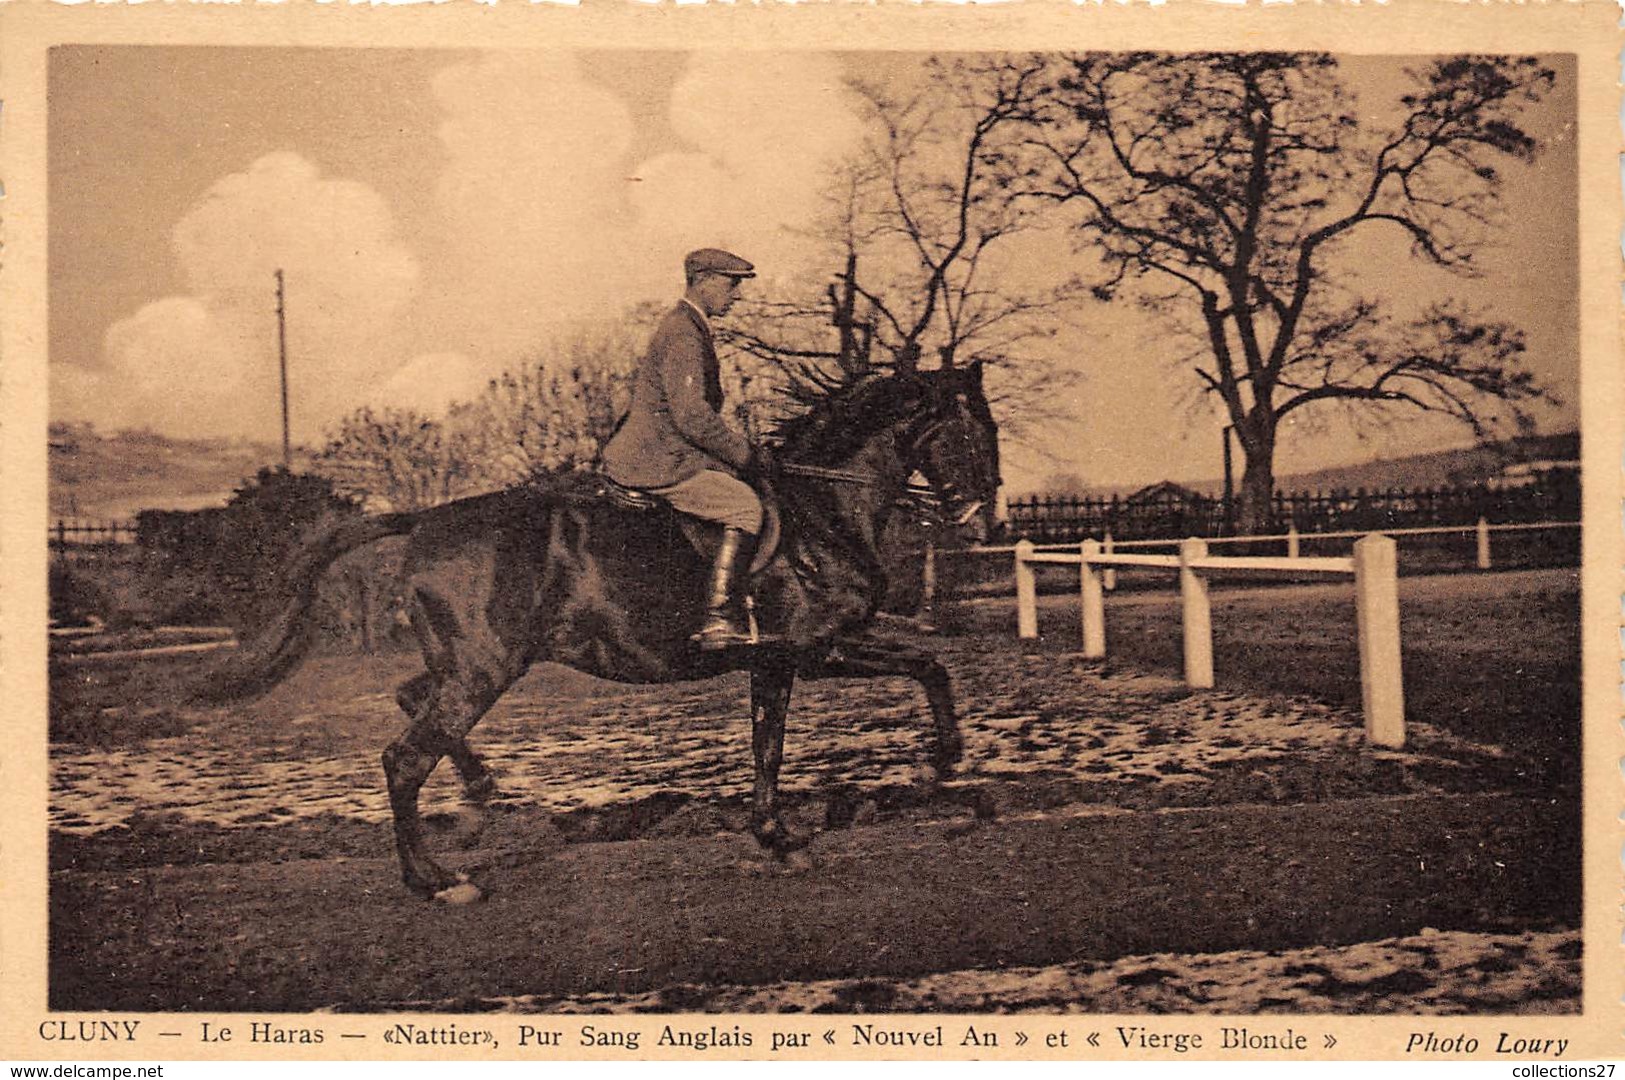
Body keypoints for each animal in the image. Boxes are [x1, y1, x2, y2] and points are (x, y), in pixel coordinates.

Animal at [196, 362, 994, 902]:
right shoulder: (816, 649)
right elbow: (925, 667)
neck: (821, 510)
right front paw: (941, 763)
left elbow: (772, 745)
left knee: (410, 701)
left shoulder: (776, 660)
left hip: (471, 664)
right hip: (484, 668)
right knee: (403, 759)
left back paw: (480, 798)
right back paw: (439, 880)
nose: (984, 516)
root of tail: (426, 518)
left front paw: (778, 835)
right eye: (969, 433)